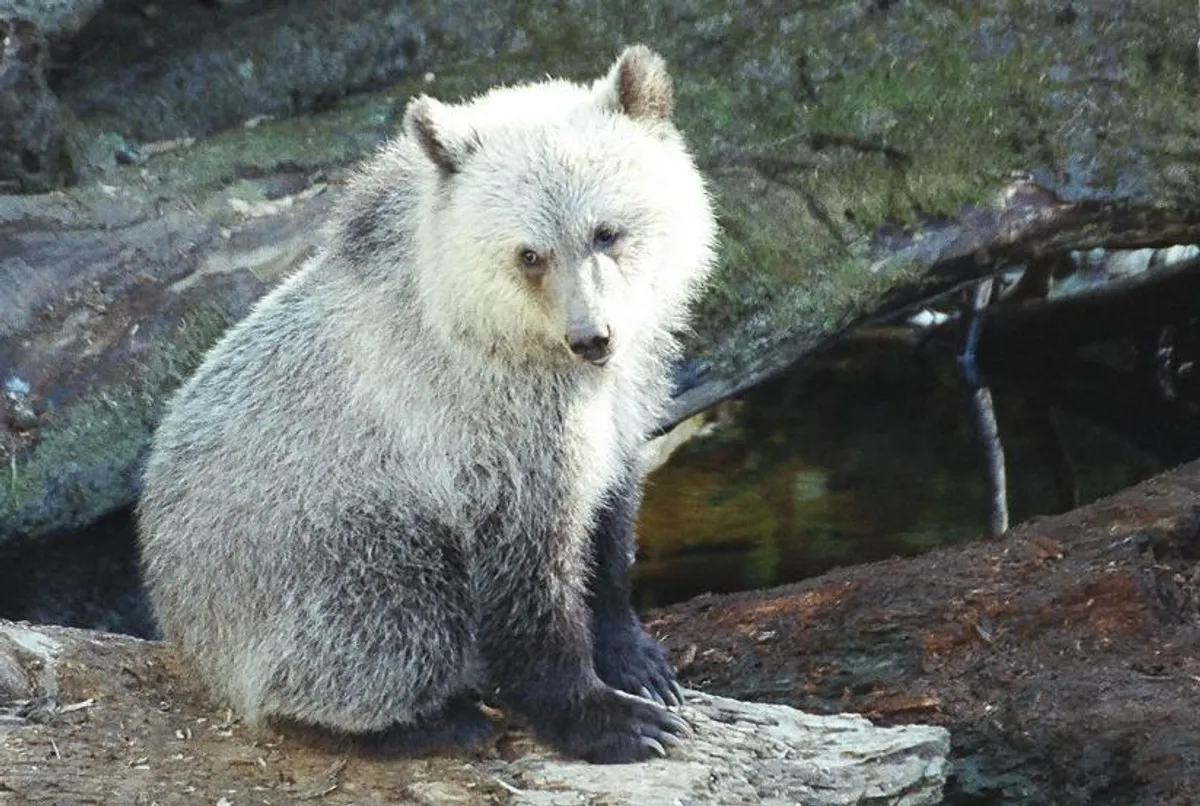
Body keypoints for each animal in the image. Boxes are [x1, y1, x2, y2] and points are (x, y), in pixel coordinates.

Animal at [137, 44, 718, 764]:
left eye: (607, 232)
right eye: (530, 253)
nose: (593, 336)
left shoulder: (623, 403)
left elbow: (610, 521)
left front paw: (635, 656)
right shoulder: (482, 438)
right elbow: (526, 590)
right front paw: (602, 716)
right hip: (316, 551)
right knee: (392, 616)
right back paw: (417, 721)